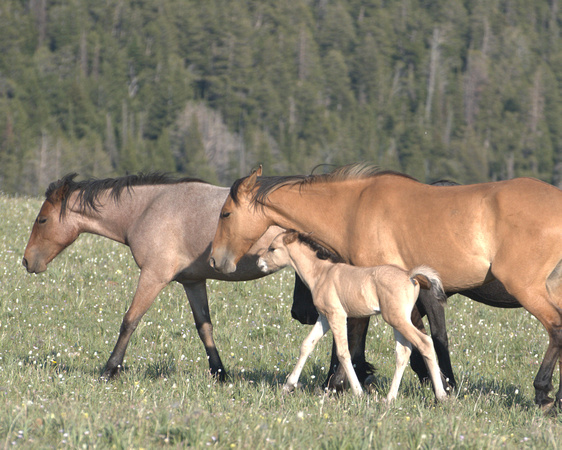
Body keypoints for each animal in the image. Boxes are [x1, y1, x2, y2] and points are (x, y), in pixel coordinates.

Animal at [21, 172, 286, 380]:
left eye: (42, 220)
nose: (26, 261)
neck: (146, 209)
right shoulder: (193, 282)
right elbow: (204, 327)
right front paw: (219, 373)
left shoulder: (153, 276)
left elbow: (129, 321)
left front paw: (110, 370)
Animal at [258, 230, 446, 402]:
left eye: (272, 248)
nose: (260, 263)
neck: (322, 273)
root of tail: (409, 276)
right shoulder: (324, 318)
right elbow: (307, 344)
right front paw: (288, 386)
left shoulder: (337, 315)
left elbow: (343, 352)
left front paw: (358, 391)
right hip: (398, 321)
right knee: (403, 352)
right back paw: (389, 398)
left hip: (396, 319)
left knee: (425, 343)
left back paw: (441, 395)